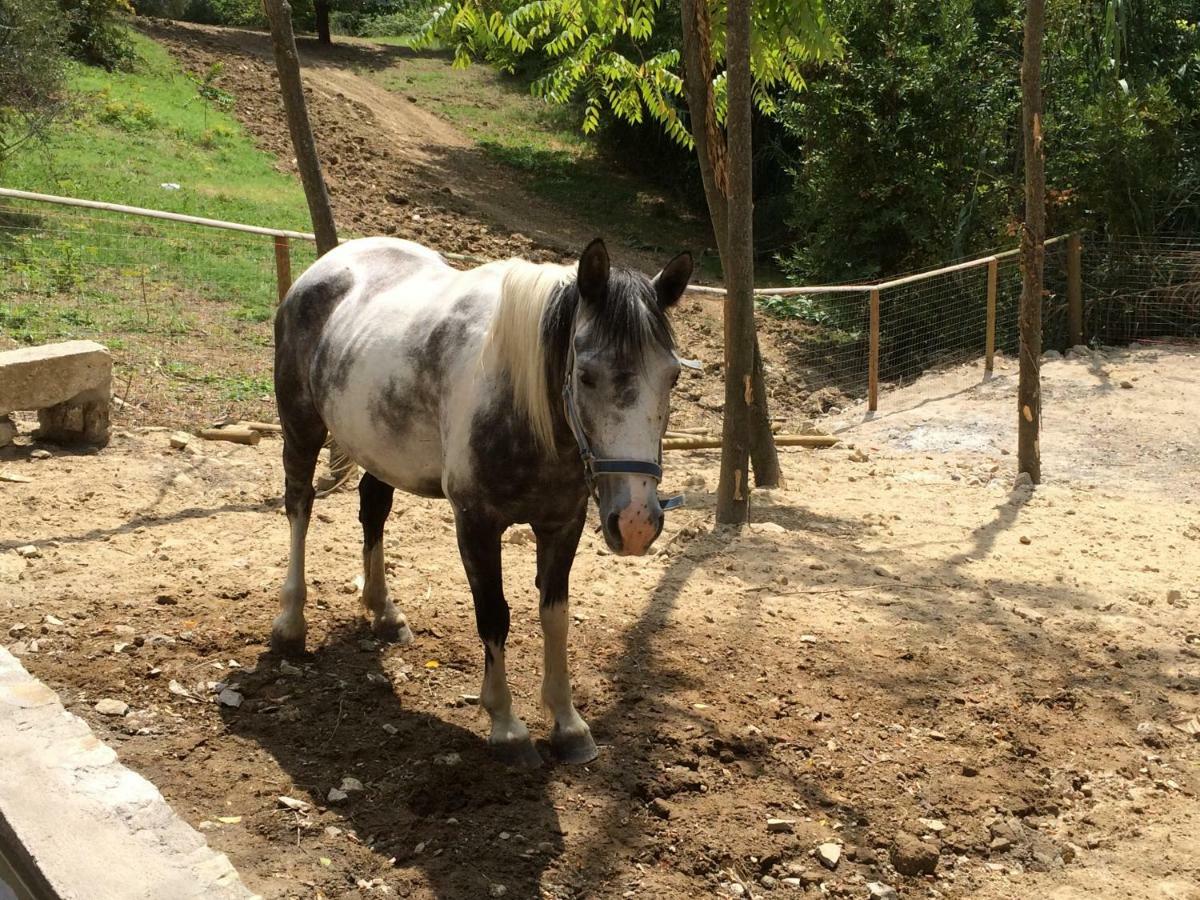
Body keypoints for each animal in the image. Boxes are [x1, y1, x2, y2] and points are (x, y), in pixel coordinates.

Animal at [267, 240, 691, 768]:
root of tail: (327, 264)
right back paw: (290, 623)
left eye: (672, 376)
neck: (528, 409)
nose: (635, 522)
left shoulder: (563, 524)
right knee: (299, 507)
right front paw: (507, 727)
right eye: (587, 375)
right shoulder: (476, 524)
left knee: (373, 510)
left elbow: (555, 616)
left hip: (380, 449)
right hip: (300, 427)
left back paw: (384, 612)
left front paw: (568, 724)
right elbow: (494, 614)